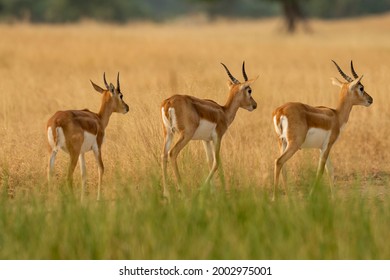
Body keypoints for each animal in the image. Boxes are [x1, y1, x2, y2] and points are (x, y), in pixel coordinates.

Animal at [160, 62, 258, 198]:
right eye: (249, 90)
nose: (255, 105)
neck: (223, 111)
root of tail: (168, 102)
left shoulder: (205, 140)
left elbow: (210, 161)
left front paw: (213, 191)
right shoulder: (218, 137)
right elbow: (216, 162)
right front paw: (203, 189)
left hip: (168, 133)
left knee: (163, 155)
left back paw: (166, 193)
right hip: (185, 135)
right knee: (172, 153)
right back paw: (181, 190)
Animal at [272, 60, 374, 199]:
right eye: (361, 88)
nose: (370, 99)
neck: (336, 115)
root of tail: (280, 111)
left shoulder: (322, 147)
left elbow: (330, 171)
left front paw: (334, 198)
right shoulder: (328, 146)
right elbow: (320, 171)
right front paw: (311, 195)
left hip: (281, 142)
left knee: (283, 166)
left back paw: (288, 197)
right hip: (293, 144)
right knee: (279, 161)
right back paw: (275, 198)